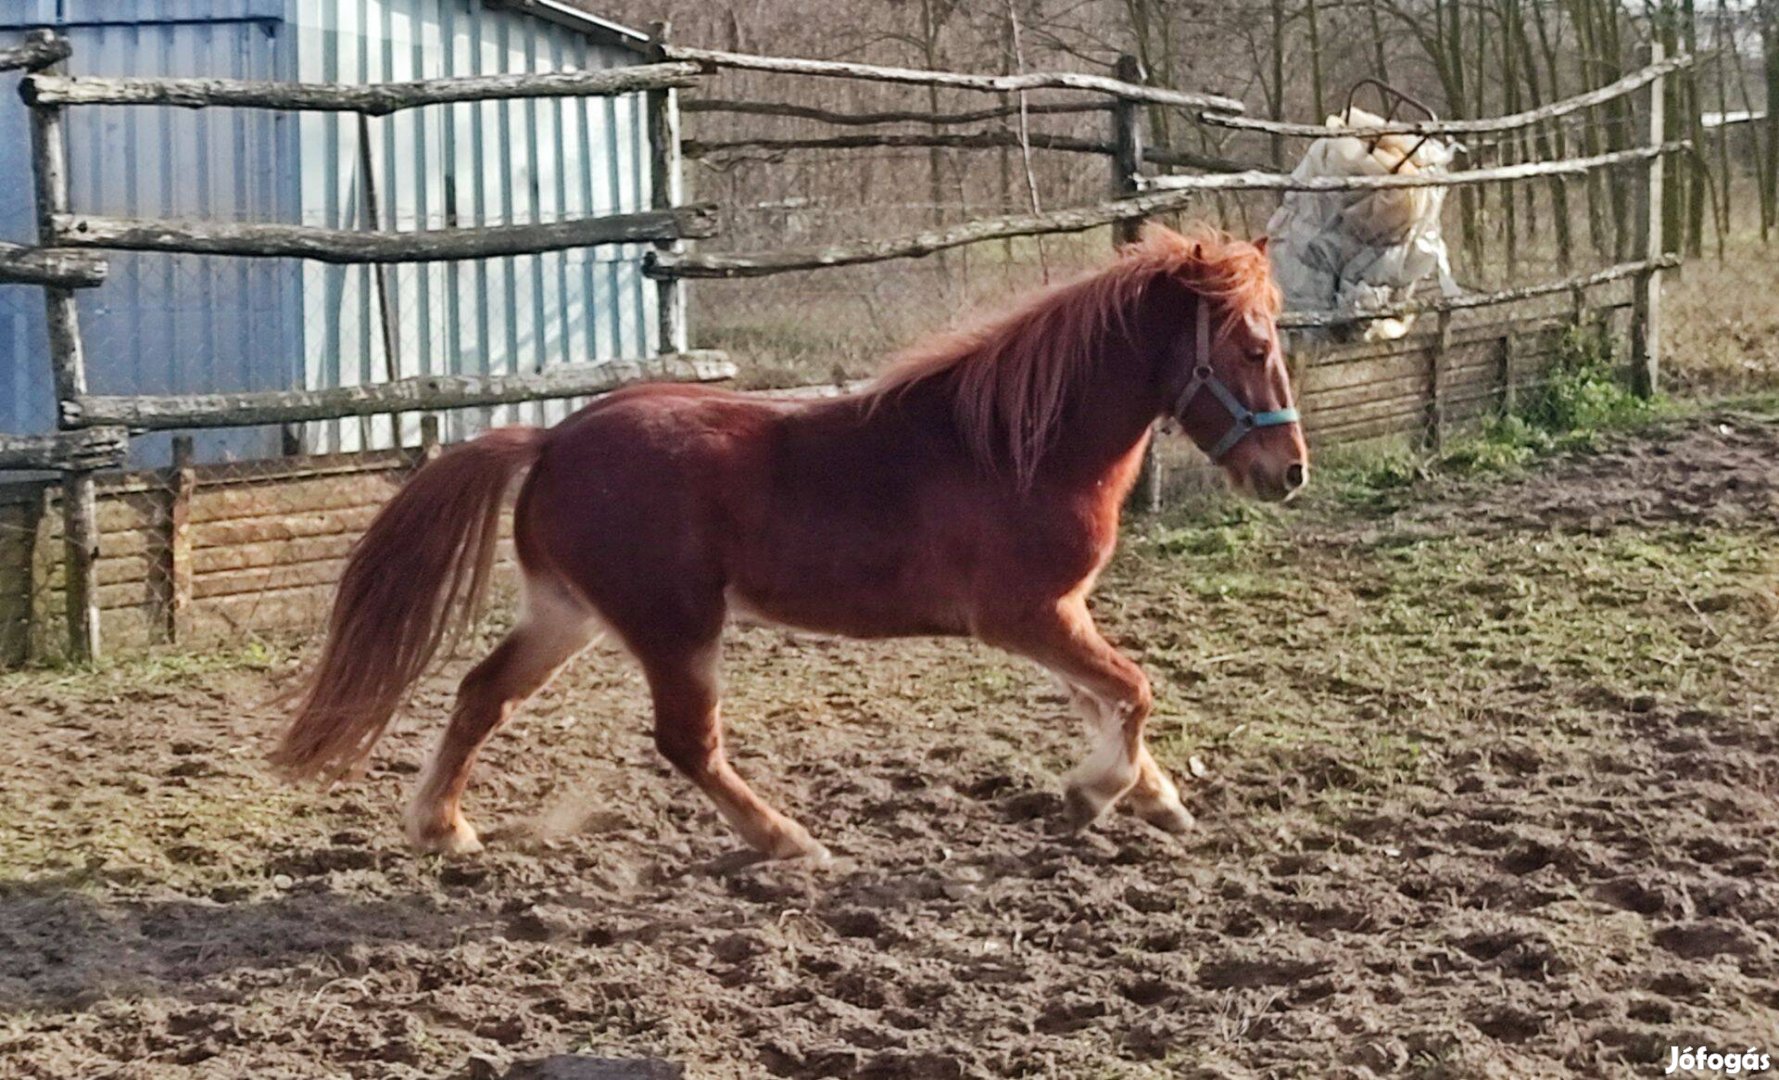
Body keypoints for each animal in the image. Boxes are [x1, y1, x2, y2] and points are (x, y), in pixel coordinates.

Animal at [277, 225, 1309, 861]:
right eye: (1253, 346)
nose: (1288, 472)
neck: (1020, 446)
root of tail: (552, 438)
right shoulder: (1028, 616)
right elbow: (1132, 691)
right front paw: (1096, 795)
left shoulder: (1059, 619)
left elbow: (1107, 700)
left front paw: (1155, 799)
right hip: (675, 629)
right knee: (686, 742)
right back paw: (789, 842)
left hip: (566, 613)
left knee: (483, 694)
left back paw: (442, 828)